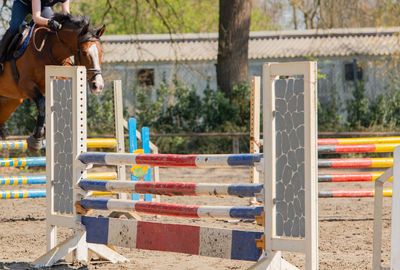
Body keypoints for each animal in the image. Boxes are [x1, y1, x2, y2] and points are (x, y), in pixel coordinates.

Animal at [0, 13, 105, 153]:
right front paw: (36, 139)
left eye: (101, 51)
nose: (98, 86)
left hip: (11, 101)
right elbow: (42, 103)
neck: (49, 49)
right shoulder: (26, 85)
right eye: (84, 52)